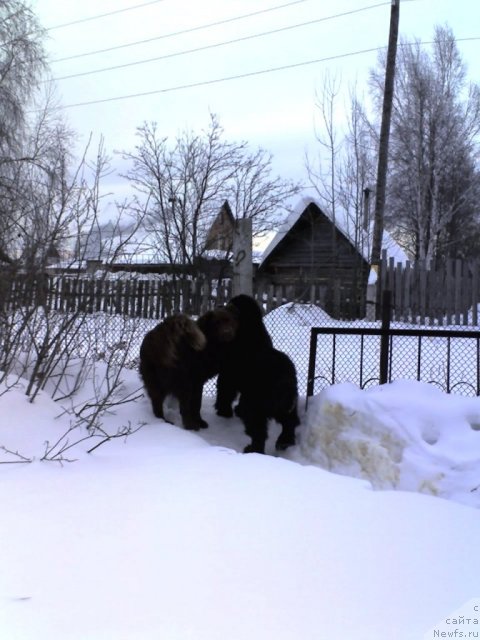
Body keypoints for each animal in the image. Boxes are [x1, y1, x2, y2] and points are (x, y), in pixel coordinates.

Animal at [215, 296, 298, 456]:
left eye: (229, 306)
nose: (219, 305)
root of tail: (284, 381)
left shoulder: (228, 373)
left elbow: (225, 390)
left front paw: (223, 411)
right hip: (288, 403)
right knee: (290, 422)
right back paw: (284, 441)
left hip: (257, 404)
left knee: (258, 430)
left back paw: (253, 449)